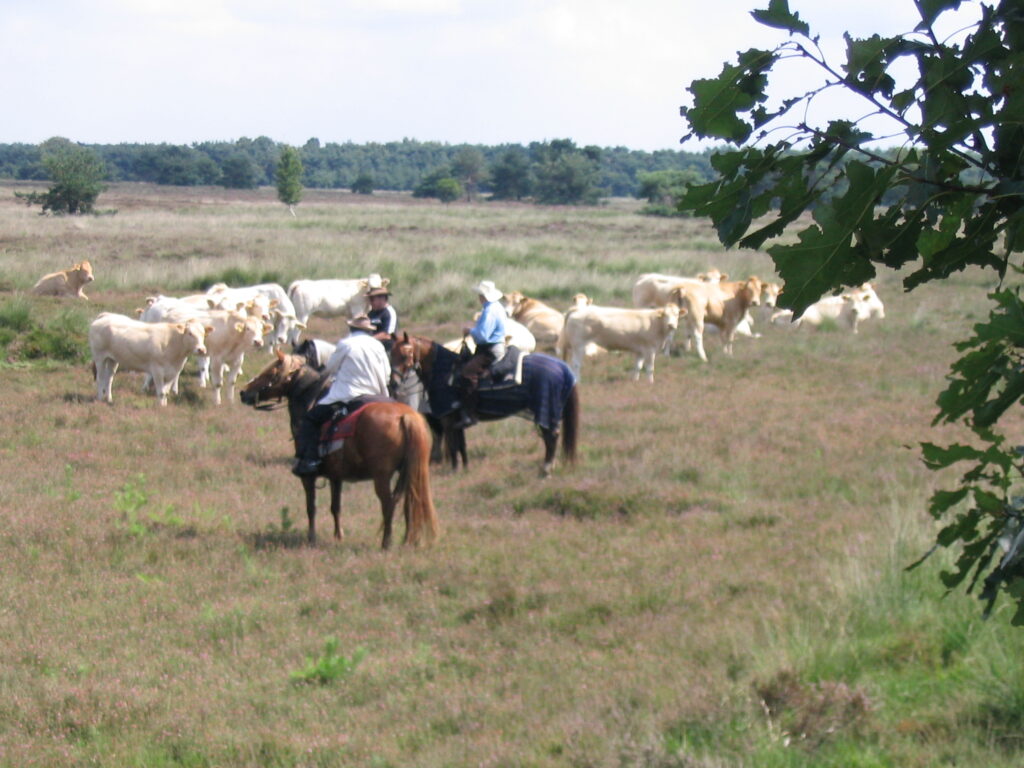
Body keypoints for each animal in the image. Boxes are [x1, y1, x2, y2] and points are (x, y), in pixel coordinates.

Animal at [239, 348, 439, 549]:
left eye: (271, 373)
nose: (243, 392)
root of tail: (405, 417)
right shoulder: (336, 476)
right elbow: (336, 507)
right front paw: (338, 536)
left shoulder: (308, 477)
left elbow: (311, 507)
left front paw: (311, 537)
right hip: (408, 473)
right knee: (409, 502)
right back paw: (407, 540)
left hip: (381, 477)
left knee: (388, 504)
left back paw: (386, 543)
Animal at [389, 332, 579, 477]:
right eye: (391, 355)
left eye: (405, 355)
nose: (393, 383)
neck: (443, 372)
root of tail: (561, 366)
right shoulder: (458, 420)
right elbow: (461, 445)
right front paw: (465, 467)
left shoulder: (448, 420)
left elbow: (453, 446)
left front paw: (454, 470)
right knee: (551, 437)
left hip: (545, 411)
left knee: (551, 437)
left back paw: (546, 469)